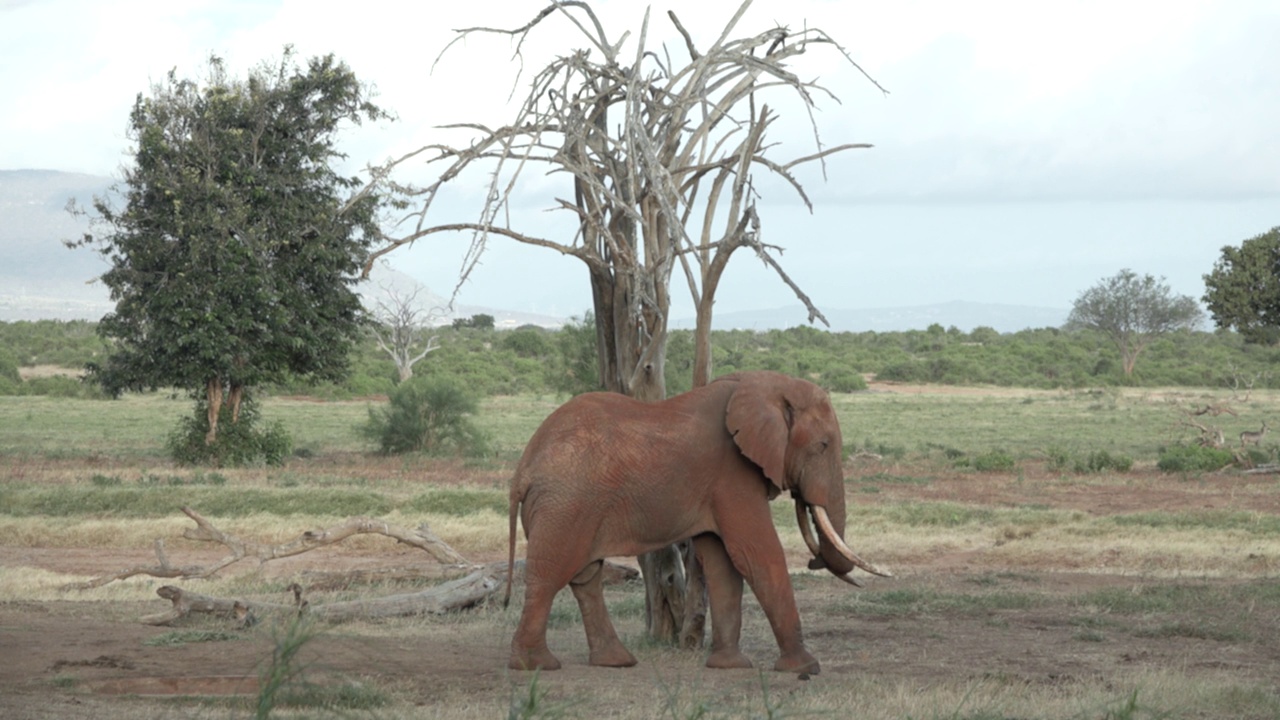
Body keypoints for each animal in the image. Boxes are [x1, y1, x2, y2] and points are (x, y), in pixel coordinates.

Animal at [501, 368, 890, 671]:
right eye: (823, 446)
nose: (813, 561)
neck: (761, 385)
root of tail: (523, 468)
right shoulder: (732, 473)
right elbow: (756, 554)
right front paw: (805, 668)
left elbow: (722, 563)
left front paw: (729, 666)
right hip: (564, 504)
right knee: (551, 573)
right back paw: (535, 665)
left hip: (570, 506)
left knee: (585, 577)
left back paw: (615, 662)